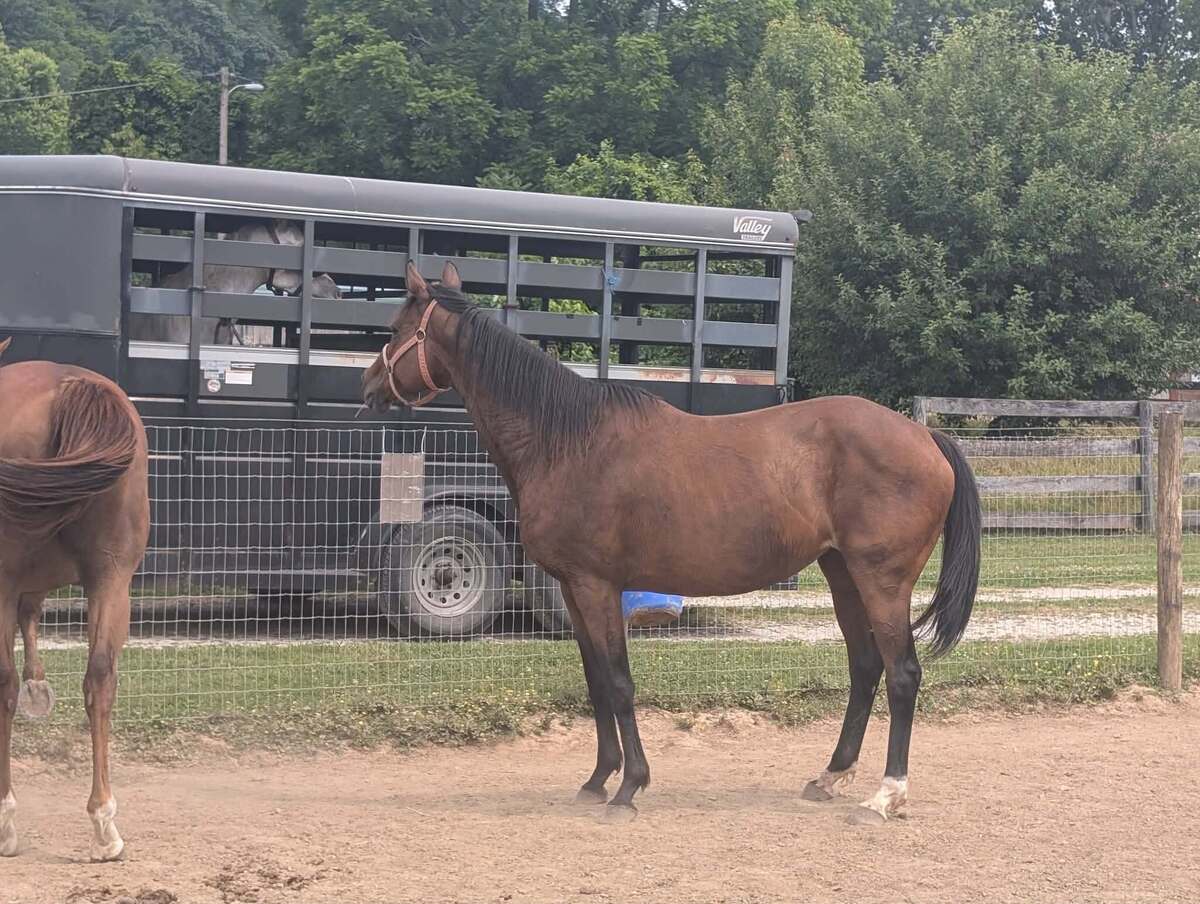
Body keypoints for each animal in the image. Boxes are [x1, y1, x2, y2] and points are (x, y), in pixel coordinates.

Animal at [0, 337, 149, 860]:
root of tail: (70, 387)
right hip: (112, 578)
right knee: (100, 678)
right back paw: (104, 824)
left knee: (2, 685)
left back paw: (6, 820)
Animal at [362, 261, 982, 824]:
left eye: (393, 329)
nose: (368, 388)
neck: (567, 441)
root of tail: (925, 434)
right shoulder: (574, 590)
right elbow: (595, 681)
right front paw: (598, 778)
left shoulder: (597, 586)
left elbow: (617, 682)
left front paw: (629, 786)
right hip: (843, 575)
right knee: (865, 667)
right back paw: (829, 776)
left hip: (882, 580)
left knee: (902, 674)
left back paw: (886, 796)